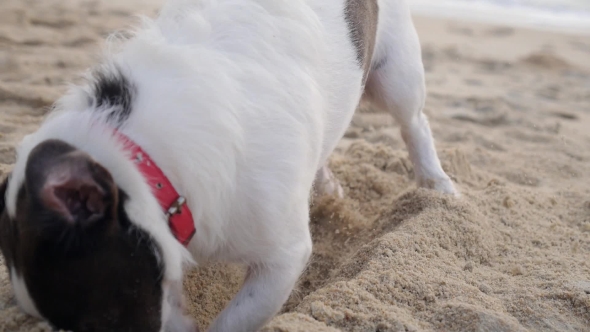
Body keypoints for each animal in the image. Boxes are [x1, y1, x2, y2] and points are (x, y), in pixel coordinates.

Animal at [0, 0, 458, 330]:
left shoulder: (282, 261)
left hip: (395, 74)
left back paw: (436, 185)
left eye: (96, 320)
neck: (139, 158)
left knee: (414, 123)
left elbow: (231, 322)